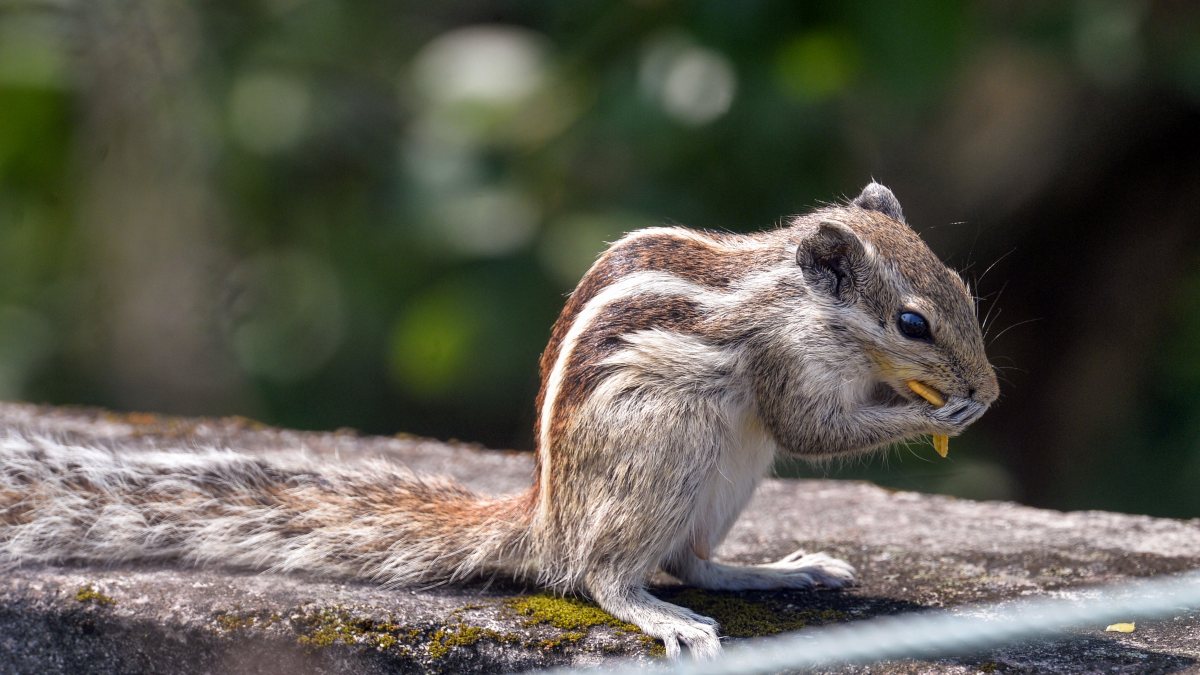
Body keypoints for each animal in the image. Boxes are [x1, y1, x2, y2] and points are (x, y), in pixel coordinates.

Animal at [0, 182, 997, 659]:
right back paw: (658, 614)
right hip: (661, 452)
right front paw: (941, 410)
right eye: (911, 322)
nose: (986, 389)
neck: (798, 300)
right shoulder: (782, 361)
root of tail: (545, 519)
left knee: (694, 559)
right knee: (604, 573)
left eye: (961, 285)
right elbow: (814, 430)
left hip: (722, 477)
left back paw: (777, 571)